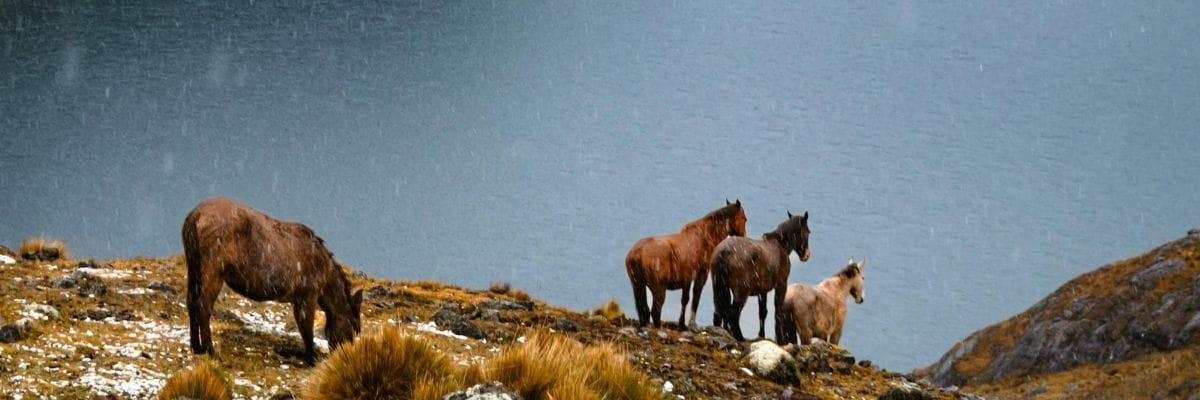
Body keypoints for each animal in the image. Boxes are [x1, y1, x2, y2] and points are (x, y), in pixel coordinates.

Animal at [181, 197, 362, 363]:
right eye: (355, 328)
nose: (344, 357)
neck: (324, 267)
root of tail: (195, 215)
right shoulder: (306, 297)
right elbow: (306, 328)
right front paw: (312, 358)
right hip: (213, 271)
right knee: (203, 306)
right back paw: (210, 351)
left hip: (194, 268)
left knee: (191, 303)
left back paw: (196, 347)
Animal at [625, 199, 747, 329]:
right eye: (744, 218)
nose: (744, 237)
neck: (705, 237)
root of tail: (637, 252)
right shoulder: (701, 274)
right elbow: (695, 298)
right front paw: (691, 323)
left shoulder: (686, 279)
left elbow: (685, 299)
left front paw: (682, 323)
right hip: (658, 289)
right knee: (655, 312)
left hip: (638, 286)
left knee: (644, 311)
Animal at [711, 211, 811, 342]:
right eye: (808, 232)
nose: (806, 255)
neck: (780, 245)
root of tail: (724, 252)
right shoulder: (781, 285)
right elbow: (778, 311)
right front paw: (780, 339)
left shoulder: (762, 291)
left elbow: (762, 312)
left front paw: (761, 335)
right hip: (741, 292)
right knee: (733, 314)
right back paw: (739, 337)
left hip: (719, 289)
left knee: (718, 314)